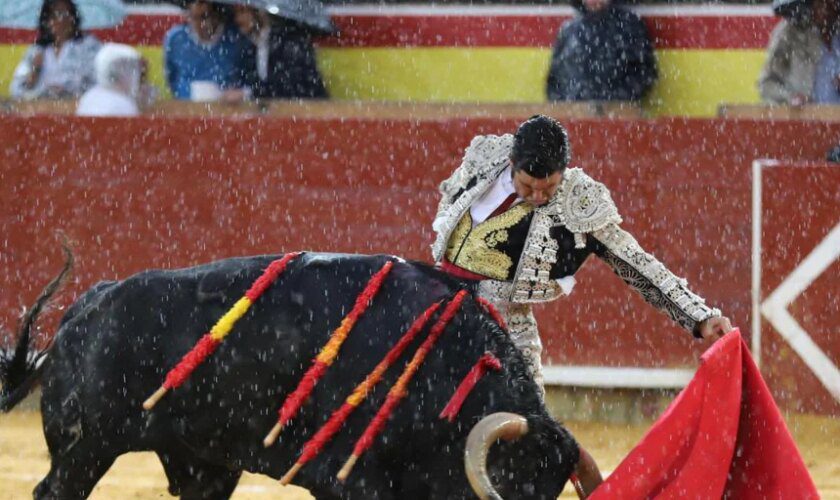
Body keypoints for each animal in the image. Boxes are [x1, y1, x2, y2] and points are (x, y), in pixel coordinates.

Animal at [1, 254, 576, 500]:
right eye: (517, 485)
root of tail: (86, 306)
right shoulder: (350, 483)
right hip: (88, 448)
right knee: (54, 491)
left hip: (201, 463)